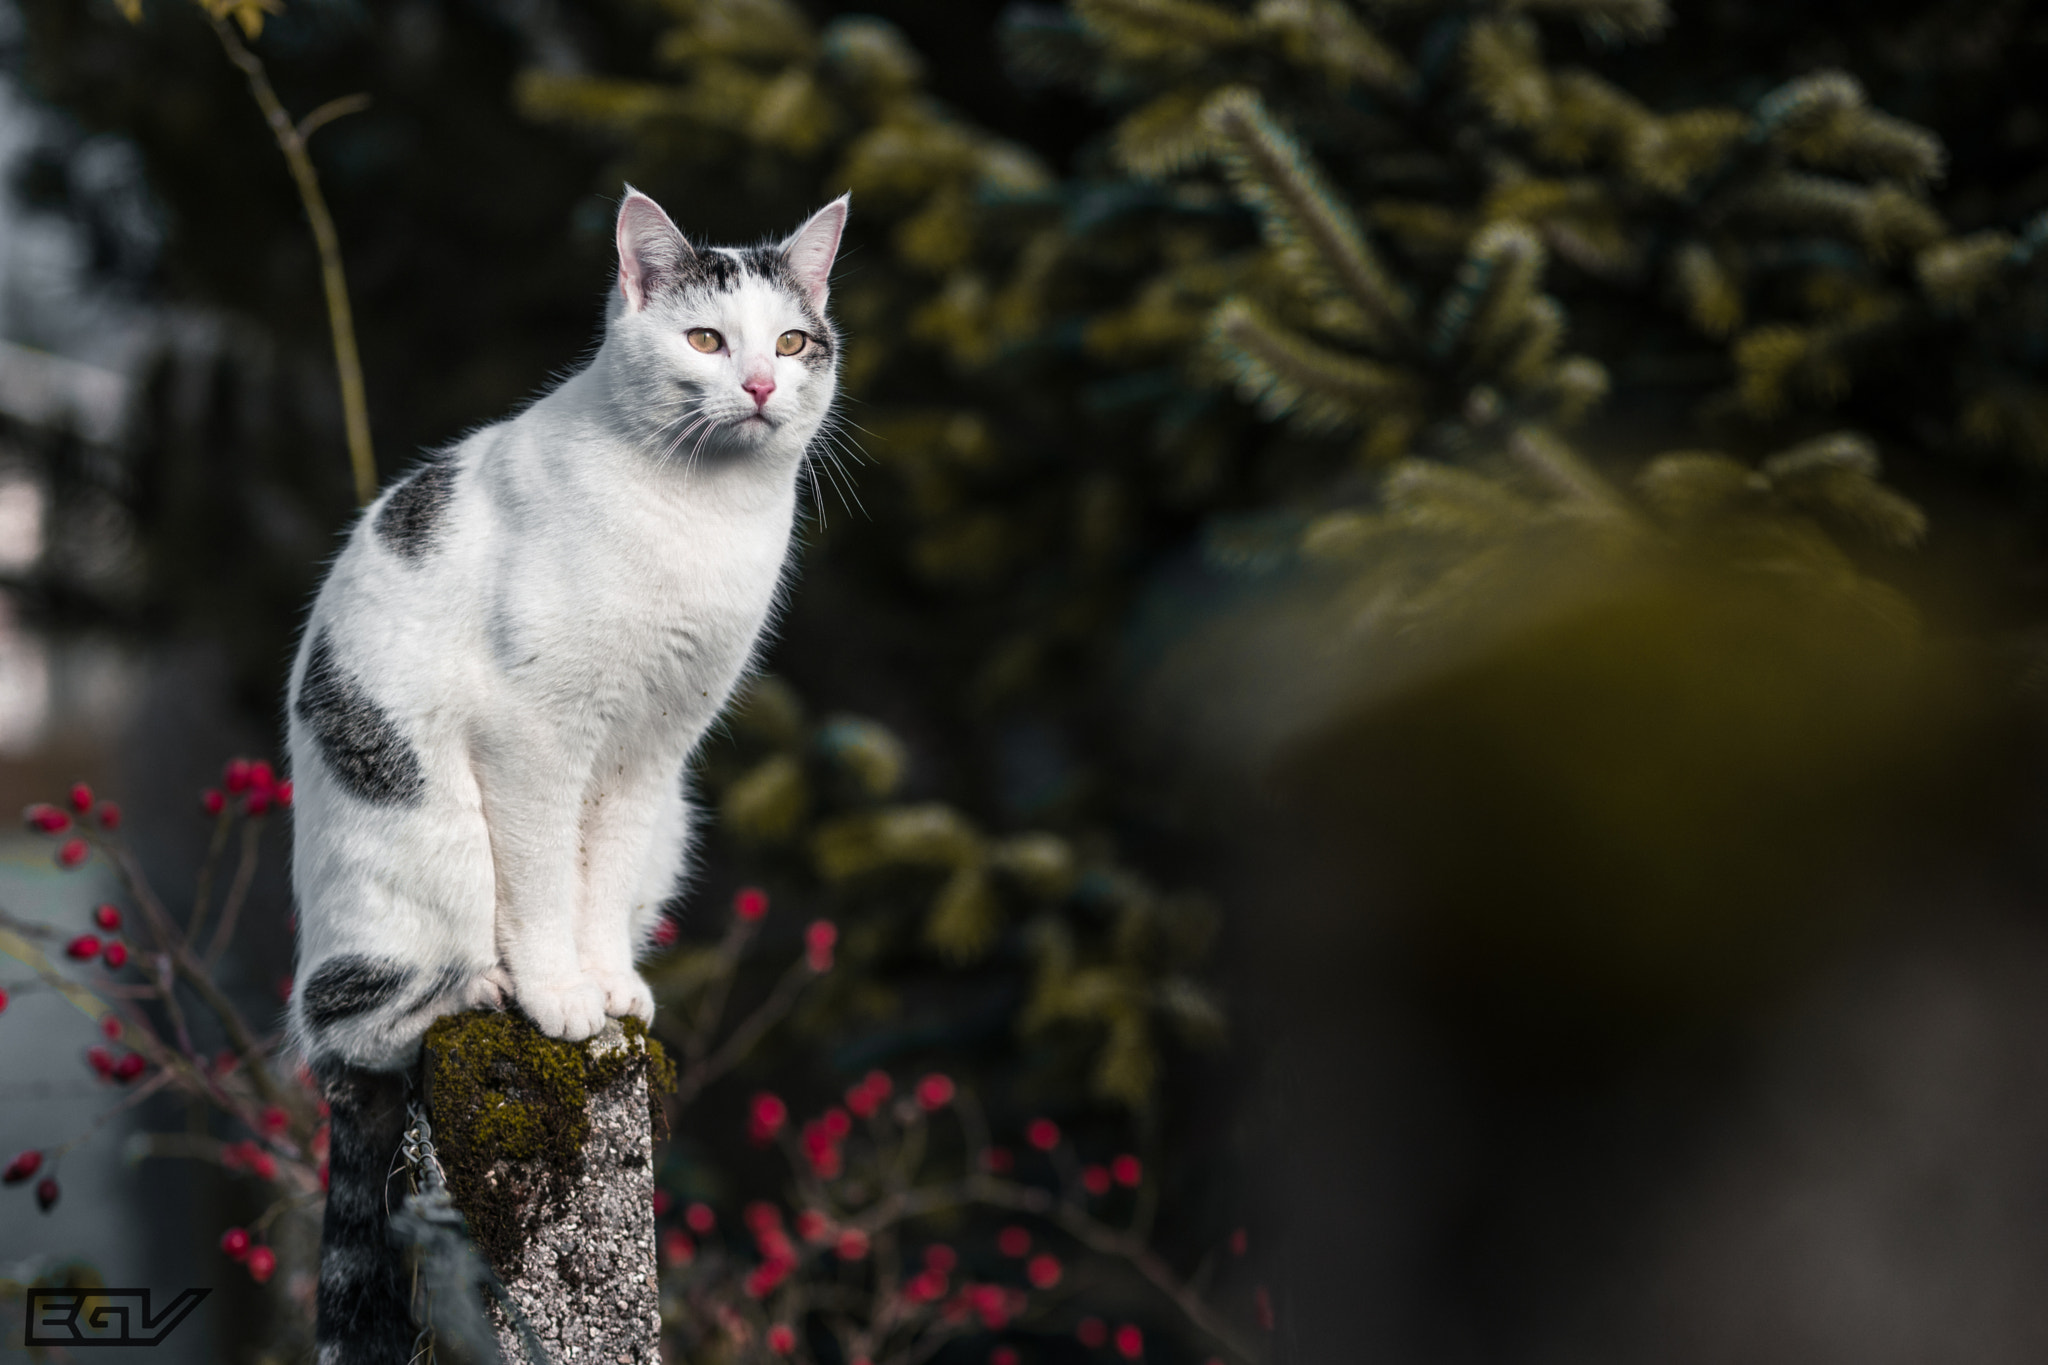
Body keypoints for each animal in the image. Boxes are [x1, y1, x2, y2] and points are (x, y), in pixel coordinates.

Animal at [288, 187, 847, 1358]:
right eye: (704, 340)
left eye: (789, 341)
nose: (760, 386)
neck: (699, 516)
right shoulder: (535, 737)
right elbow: (546, 881)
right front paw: (556, 995)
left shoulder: (651, 751)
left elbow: (598, 879)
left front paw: (607, 987)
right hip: (429, 849)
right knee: (349, 1027)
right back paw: (480, 986)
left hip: (670, 820)